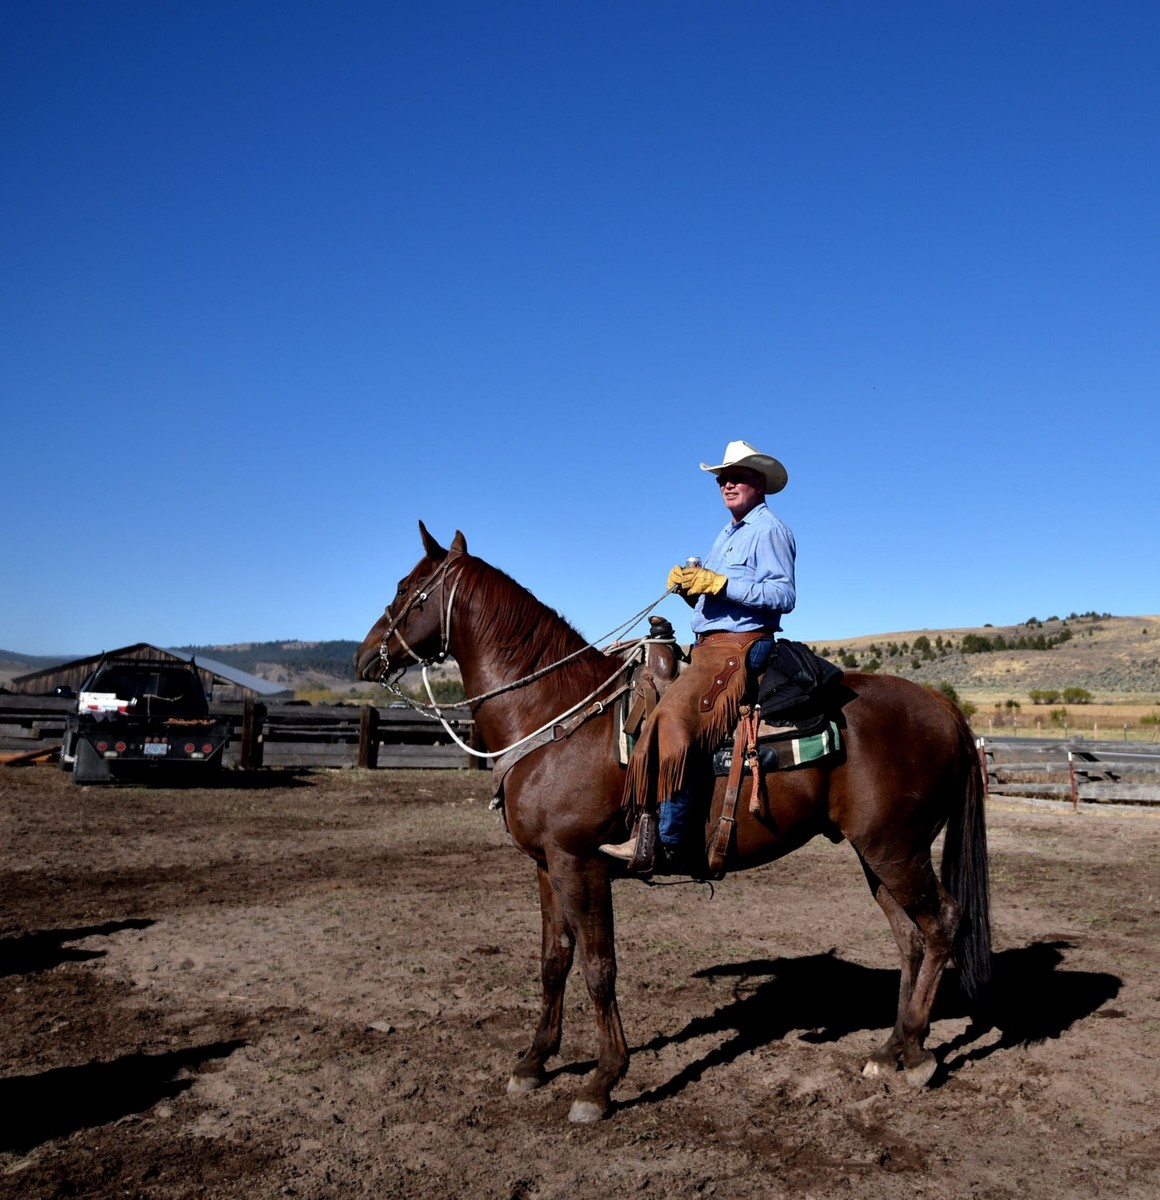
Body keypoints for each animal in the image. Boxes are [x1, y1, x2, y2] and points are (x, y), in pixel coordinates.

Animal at [352, 525, 988, 1123]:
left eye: (407, 590)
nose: (363, 658)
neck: (554, 714)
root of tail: (945, 710)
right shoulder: (546, 866)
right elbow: (554, 961)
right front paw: (533, 1062)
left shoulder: (581, 864)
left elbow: (599, 968)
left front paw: (601, 1082)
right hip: (876, 853)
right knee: (909, 937)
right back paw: (890, 1049)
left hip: (896, 850)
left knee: (942, 923)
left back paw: (918, 1054)